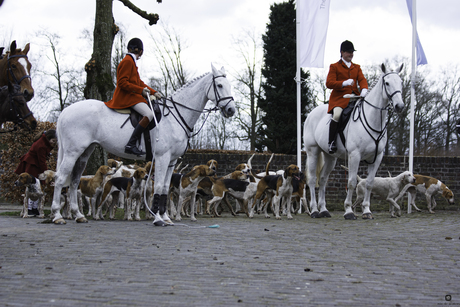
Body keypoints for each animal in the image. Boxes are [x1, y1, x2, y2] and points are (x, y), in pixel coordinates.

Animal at [51, 63, 234, 225]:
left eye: (229, 85)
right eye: (219, 85)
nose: (231, 110)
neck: (175, 116)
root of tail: (65, 111)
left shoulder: (172, 160)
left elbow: (165, 187)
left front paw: (166, 218)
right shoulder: (162, 157)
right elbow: (159, 186)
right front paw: (158, 219)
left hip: (84, 152)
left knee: (74, 181)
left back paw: (78, 215)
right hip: (72, 152)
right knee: (60, 178)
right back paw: (57, 216)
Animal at [304, 63, 404, 220]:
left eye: (401, 82)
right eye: (387, 83)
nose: (400, 106)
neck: (373, 119)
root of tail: (312, 113)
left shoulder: (377, 157)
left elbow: (369, 183)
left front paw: (367, 211)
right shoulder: (354, 155)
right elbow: (351, 182)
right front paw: (349, 211)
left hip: (330, 157)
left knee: (323, 179)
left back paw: (324, 210)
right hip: (313, 151)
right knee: (313, 179)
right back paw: (314, 210)